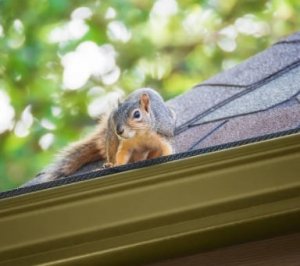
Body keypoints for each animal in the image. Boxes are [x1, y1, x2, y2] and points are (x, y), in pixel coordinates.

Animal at [29, 88, 176, 184]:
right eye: (114, 115)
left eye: (137, 114)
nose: (119, 130)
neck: (139, 135)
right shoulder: (126, 144)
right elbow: (121, 155)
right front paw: (116, 164)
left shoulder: (162, 136)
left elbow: (167, 148)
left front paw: (166, 157)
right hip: (111, 140)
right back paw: (110, 163)